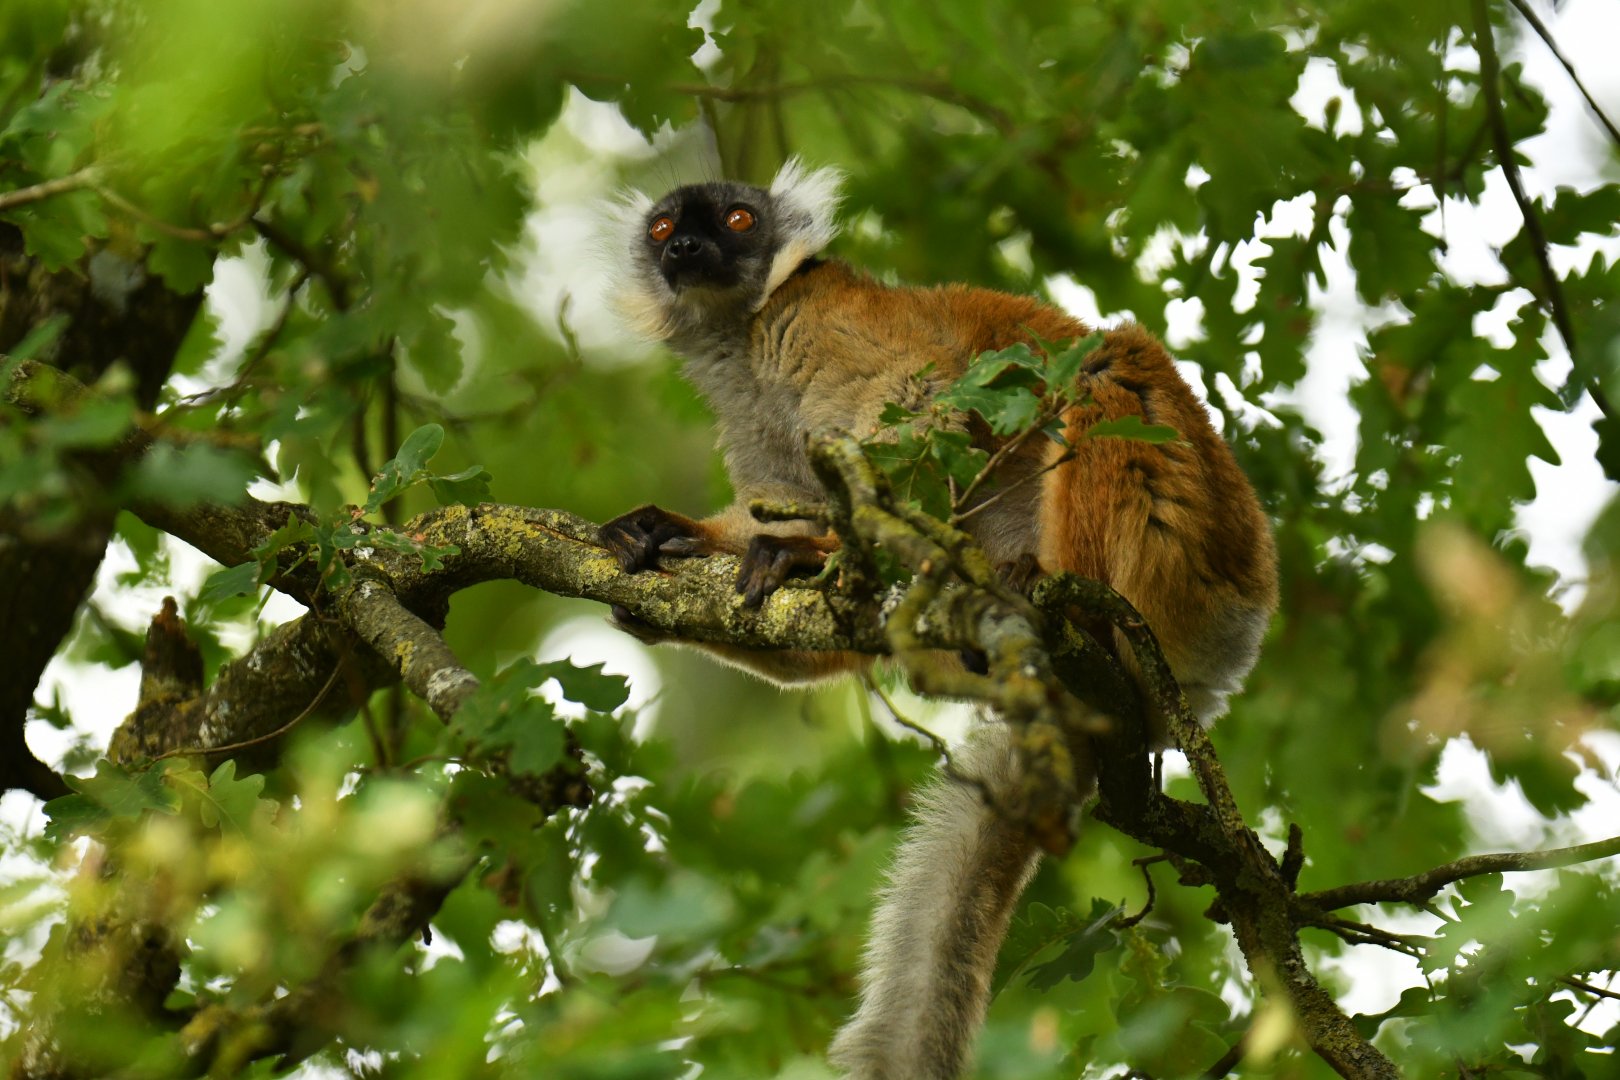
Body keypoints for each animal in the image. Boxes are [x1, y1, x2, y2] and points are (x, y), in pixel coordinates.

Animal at [599, 159, 1278, 1080]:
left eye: (737, 219)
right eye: (668, 229)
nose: (692, 249)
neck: (741, 335)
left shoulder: (819, 323)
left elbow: (926, 403)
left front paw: (811, 552)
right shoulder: (751, 411)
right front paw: (687, 540)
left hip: (1194, 557)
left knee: (1108, 365)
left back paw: (1063, 601)